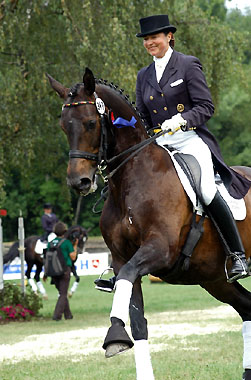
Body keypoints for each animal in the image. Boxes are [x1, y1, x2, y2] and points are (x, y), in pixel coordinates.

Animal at [47, 69, 251, 380]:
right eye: (63, 126)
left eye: (91, 122)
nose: (78, 182)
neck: (132, 181)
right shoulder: (122, 258)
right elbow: (137, 319)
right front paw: (119, 338)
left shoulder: (159, 250)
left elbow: (128, 280)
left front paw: (114, 335)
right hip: (215, 279)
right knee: (249, 309)